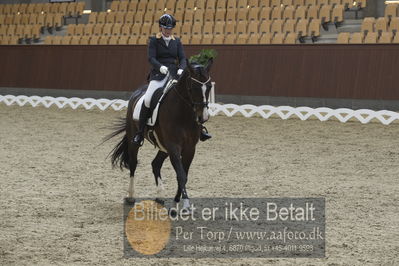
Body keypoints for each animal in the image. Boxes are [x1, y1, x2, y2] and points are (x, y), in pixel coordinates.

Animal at [104, 58, 214, 212]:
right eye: (192, 88)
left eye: (209, 87)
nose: (203, 117)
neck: (183, 113)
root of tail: (138, 92)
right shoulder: (174, 146)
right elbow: (181, 175)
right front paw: (185, 204)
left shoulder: (189, 148)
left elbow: (184, 175)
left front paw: (176, 203)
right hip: (135, 140)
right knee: (133, 164)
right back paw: (131, 196)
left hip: (163, 146)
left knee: (155, 164)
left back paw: (160, 196)